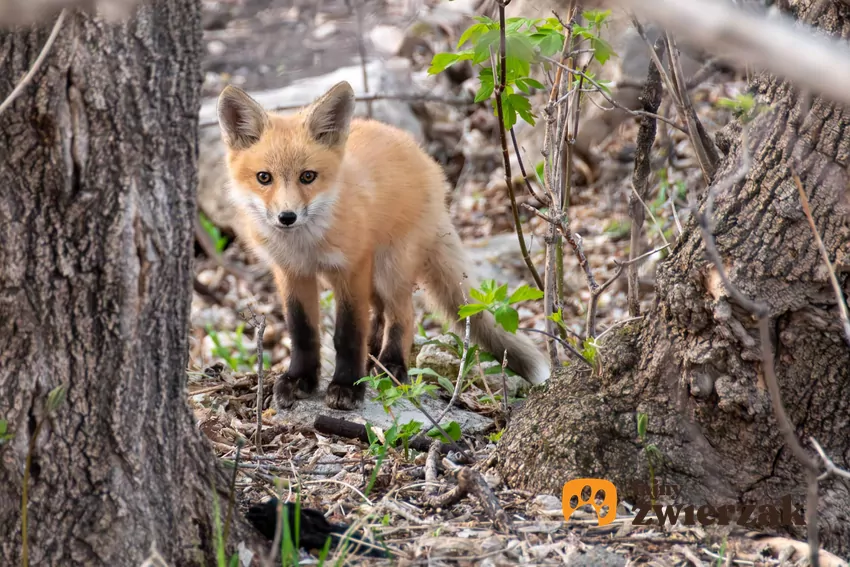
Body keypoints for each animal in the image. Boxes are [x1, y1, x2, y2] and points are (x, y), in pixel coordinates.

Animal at [217, 81, 548, 412]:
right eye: (264, 177)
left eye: (307, 176)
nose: (287, 217)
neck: (305, 245)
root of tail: (426, 160)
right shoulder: (292, 272)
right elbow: (302, 332)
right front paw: (300, 379)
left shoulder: (352, 266)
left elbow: (348, 333)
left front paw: (347, 385)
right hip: (370, 275)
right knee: (378, 312)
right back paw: (373, 357)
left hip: (390, 268)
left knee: (403, 314)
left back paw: (392, 364)